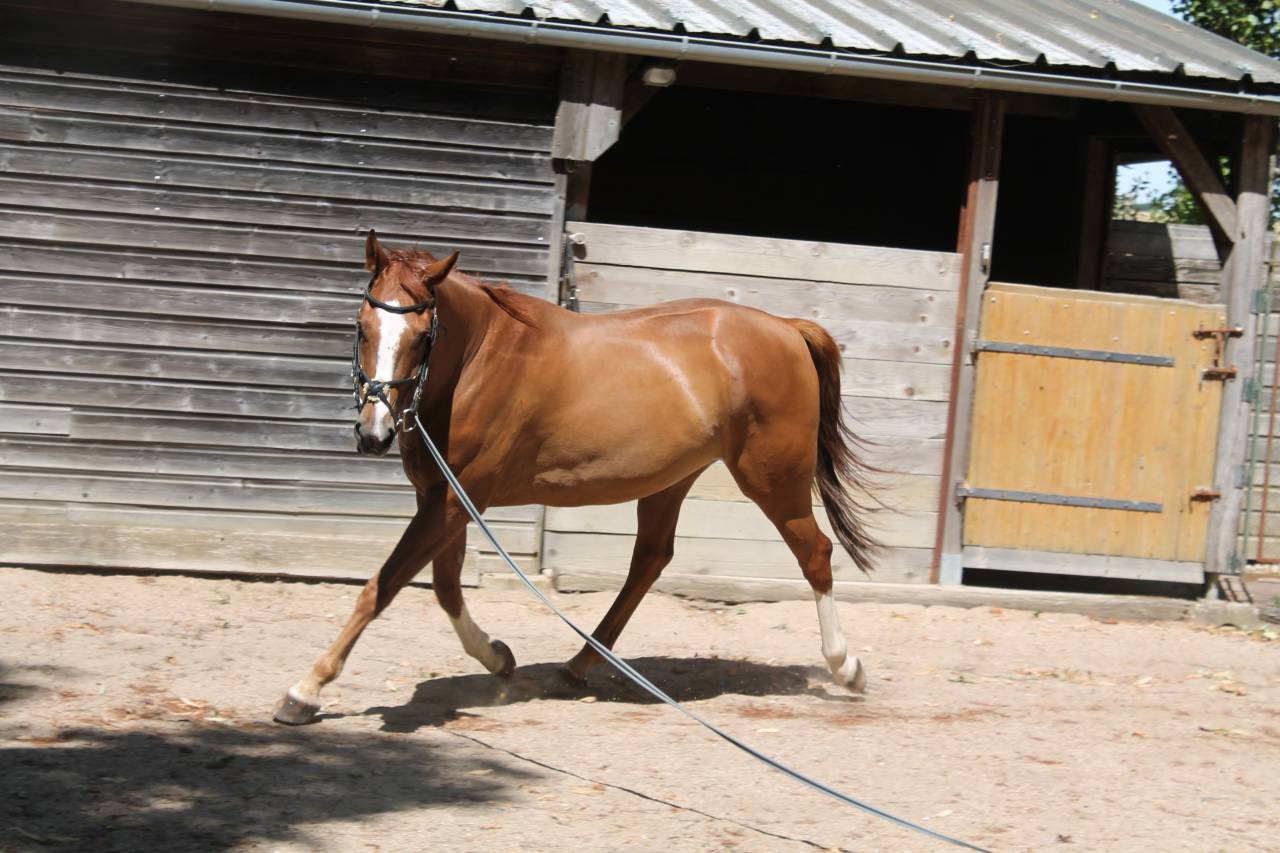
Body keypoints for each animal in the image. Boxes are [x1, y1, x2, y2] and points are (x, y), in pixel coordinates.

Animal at [273, 230, 881, 725]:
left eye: (423, 336)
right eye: (362, 327)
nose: (373, 433)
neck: (480, 360)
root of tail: (787, 329)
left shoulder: (453, 501)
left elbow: (382, 586)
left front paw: (304, 691)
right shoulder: (444, 498)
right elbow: (444, 588)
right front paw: (499, 658)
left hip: (773, 481)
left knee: (815, 553)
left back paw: (846, 667)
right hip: (671, 480)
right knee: (649, 561)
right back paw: (575, 666)